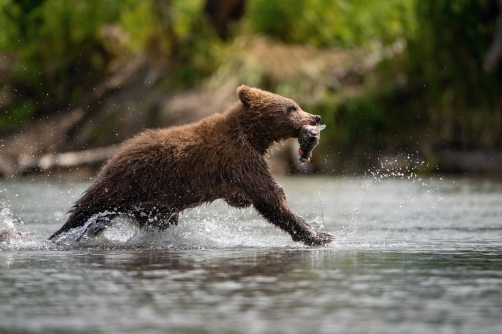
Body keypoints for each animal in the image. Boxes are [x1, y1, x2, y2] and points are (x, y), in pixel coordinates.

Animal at [49, 85, 336, 245]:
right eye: (292, 107)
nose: (316, 116)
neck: (252, 135)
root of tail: (114, 155)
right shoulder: (239, 157)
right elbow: (269, 196)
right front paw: (320, 235)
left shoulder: (239, 166)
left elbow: (248, 196)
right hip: (127, 183)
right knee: (87, 209)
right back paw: (60, 235)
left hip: (154, 203)